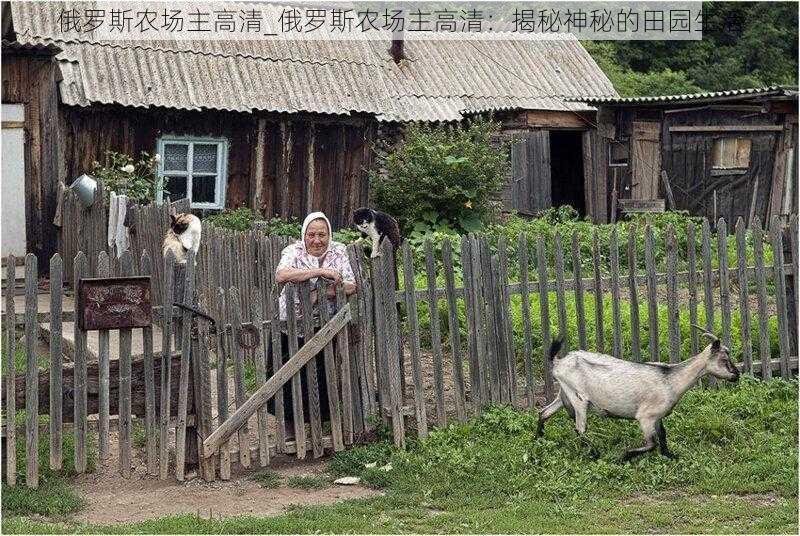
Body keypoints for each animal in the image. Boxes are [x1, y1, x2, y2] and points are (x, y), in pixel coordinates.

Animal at [536, 326, 740, 460]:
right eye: (724, 359)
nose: (737, 374)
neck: (670, 379)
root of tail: (559, 362)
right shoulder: (645, 417)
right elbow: (651, 443)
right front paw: (624, 455)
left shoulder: (657, 417)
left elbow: (663, 435)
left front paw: (670, 456)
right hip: (578, 399)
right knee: (580, 428)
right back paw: (594, 453)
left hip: (563, 394)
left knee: (544, 412)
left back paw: (538, 440)